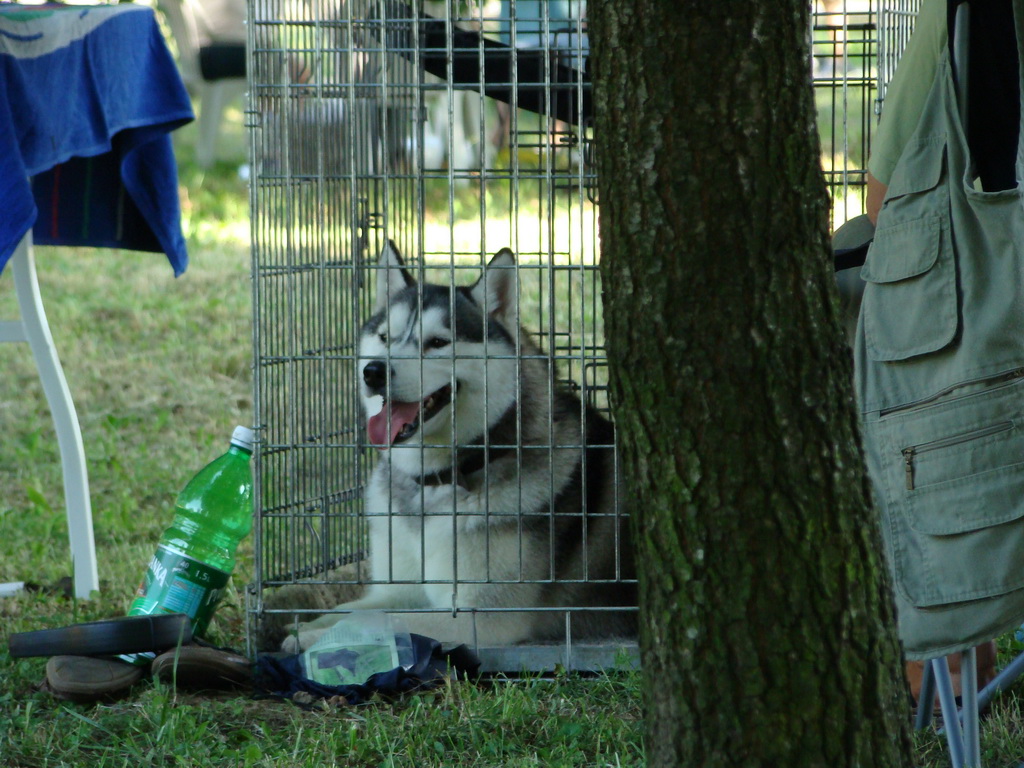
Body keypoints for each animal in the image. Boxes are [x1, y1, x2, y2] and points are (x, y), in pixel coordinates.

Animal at [280, 243, 630, 651]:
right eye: (385, 337)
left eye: (437, 343)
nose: (374, 371)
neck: (435, 483)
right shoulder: (400, 587)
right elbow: (355, 608)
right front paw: (304, 627)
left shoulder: (482, 617)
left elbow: (383, 620)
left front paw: (317, 640)